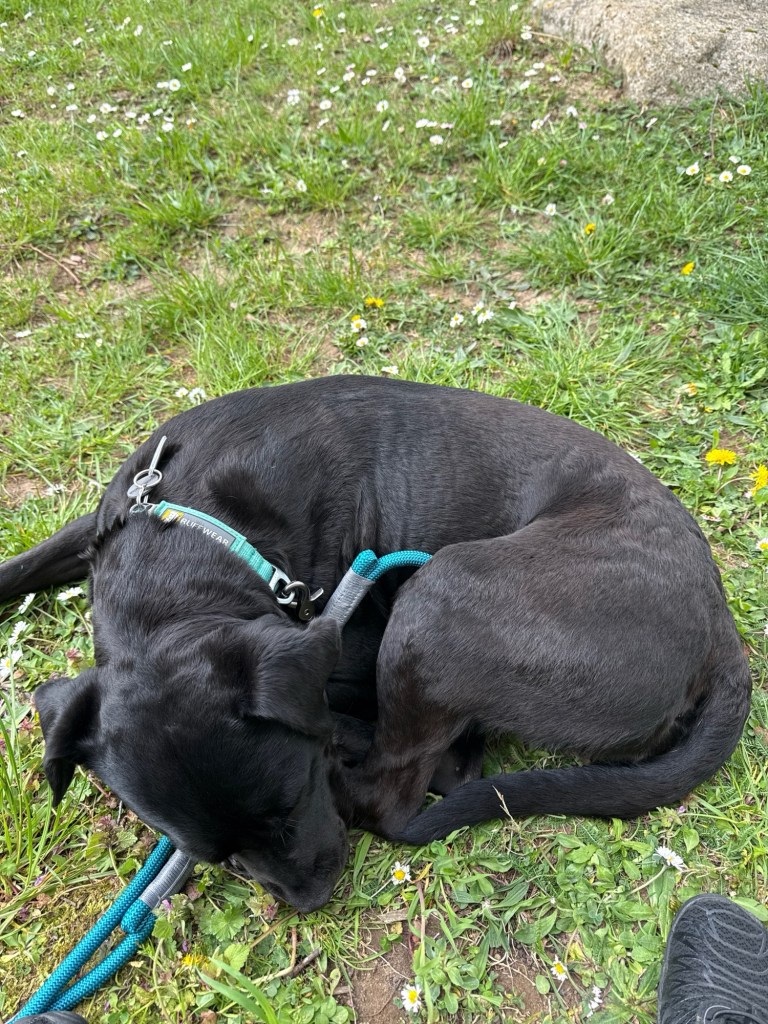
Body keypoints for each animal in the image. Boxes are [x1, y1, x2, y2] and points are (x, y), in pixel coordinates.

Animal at [0, 376, 751, 911]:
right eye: (219, 857)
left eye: (294, 799)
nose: (310, 901)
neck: (193, 531)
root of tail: (722, 633)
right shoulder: (100, 522)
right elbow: (21, 564)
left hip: (437, 595)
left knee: (399, 792)